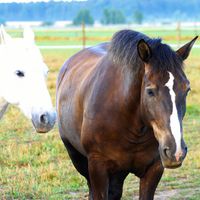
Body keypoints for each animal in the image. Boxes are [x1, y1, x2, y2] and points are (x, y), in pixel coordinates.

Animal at [56, 30, 197, 200]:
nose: (176, 152)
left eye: (187, 89)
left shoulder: (154, 169)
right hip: (79, 159)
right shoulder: (97, 167)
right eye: (150, 91)